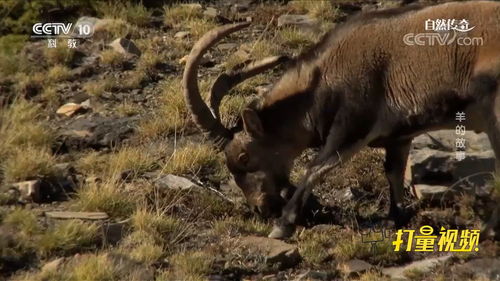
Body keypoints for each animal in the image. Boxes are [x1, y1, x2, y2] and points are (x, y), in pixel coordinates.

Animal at [184, 1, 500, 238]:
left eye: (244, 157)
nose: (260, 209)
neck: (323, 79)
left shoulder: (353, 124)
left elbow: (316, 168)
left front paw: (283, 225)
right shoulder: (399, 135)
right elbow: (394, 171)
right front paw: (396, 217)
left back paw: (488, 230)